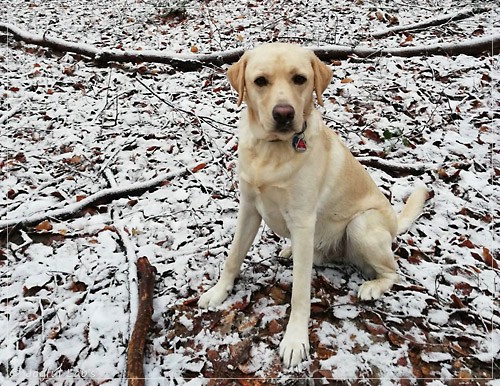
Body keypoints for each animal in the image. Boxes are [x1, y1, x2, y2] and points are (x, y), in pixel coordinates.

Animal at [197, 43, 428, 366]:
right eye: (260, 81)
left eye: (300, 79)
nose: (283, 114)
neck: (272, 150)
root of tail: (395, 223)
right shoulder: (249, 208)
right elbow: (233, 257)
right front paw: (219, 292)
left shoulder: (303, 221)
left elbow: (300, 293)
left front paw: (295, 340)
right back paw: (291, 250)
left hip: (361, 225)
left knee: (392, 270)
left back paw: (373, 286)